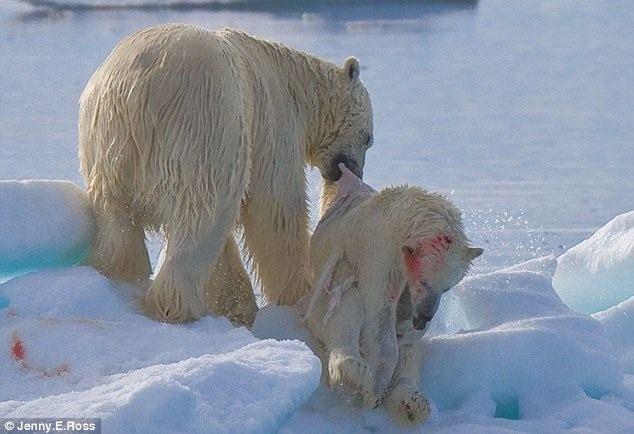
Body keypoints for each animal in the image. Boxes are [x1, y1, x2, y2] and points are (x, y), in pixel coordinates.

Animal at [81, 23, 372, 322]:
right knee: (201, 216)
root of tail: (137, 89)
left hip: (106, 141)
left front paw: (236, 304)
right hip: (202, 125)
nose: (353, 172)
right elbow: (276, 209)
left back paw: (118, 274)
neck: (293, 81)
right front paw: (297, 293)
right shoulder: (274, 121)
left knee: (115, 214)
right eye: (368, 138)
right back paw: (177, 305)